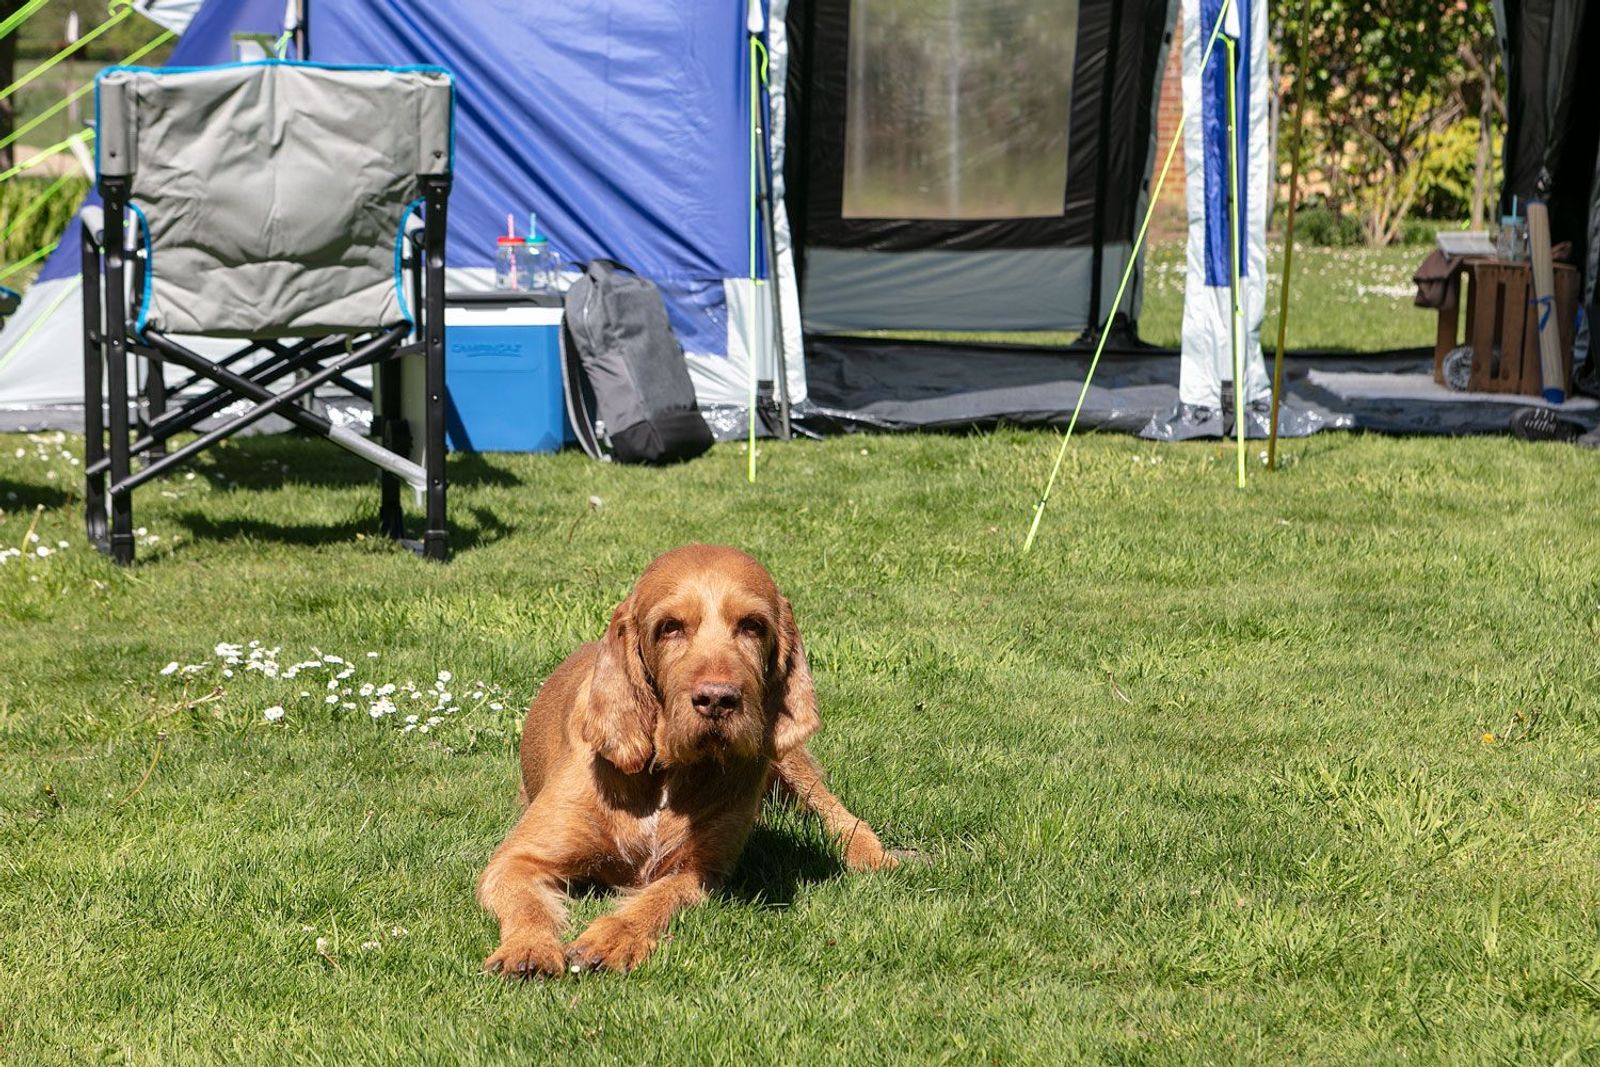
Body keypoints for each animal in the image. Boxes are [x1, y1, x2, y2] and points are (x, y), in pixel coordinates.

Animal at [473, 547, 902, 972]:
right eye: (670, 627)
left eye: (753, 625)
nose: (717, 699)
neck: (665, 773)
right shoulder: (517, 859)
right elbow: (526, 902)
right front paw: (529, 948)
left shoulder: (699, 870)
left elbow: (657, 899)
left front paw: (614, 937)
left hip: (783, 756)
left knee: (837, 812)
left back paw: (874, 853)